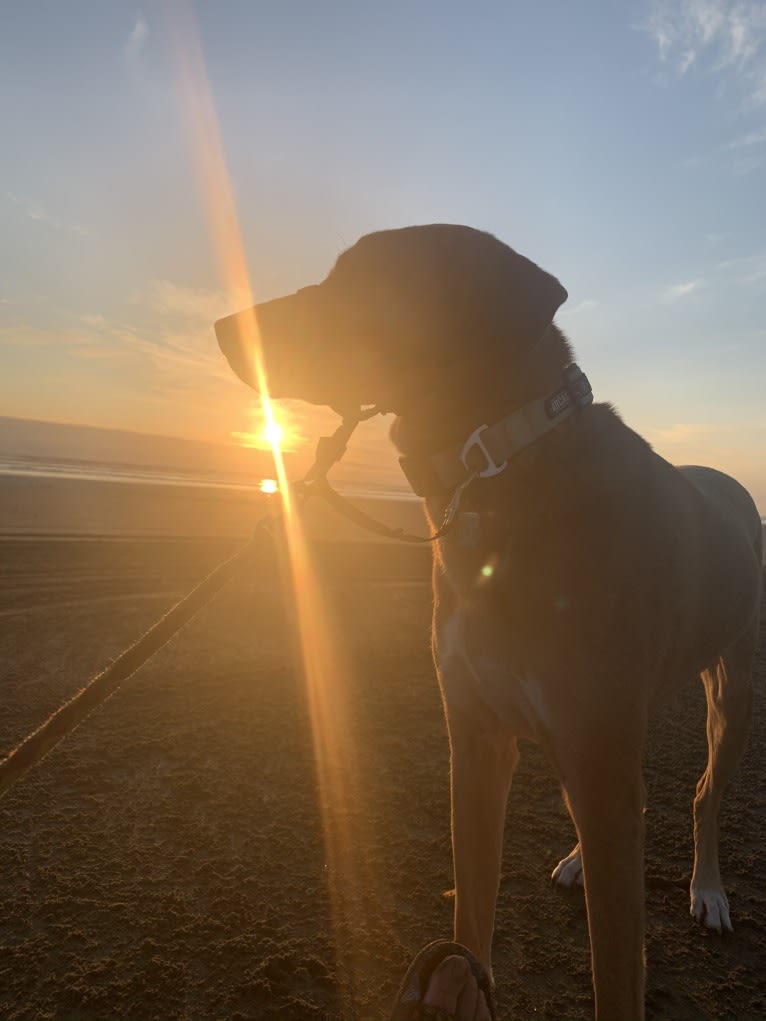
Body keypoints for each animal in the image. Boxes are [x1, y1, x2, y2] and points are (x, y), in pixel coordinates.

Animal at [214, 229, 763, 1021]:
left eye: (358, 282)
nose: (224, 329)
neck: (494, 464)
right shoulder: (476, 740)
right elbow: (469, 912)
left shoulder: (593, 752)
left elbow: (616, 976)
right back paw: (580, 856)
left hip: (730, 693)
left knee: (700, 789)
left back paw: (708, 888)